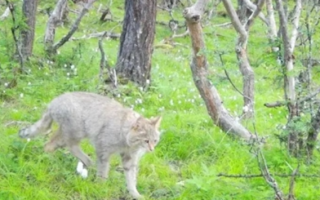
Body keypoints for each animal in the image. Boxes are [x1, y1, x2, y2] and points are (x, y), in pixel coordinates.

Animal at [18, 92, 161, 198]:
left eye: (155, 140)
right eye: (146, 141)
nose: (151, 149)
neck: (127, 141)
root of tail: (54, 101)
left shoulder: (129, 158)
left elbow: (131, 178)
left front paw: (135, 194)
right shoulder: (103, 149)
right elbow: (103, 170)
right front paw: (101, 186)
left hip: (70, 131)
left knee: (54, 142)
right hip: (76, 131)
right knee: (60, 144)